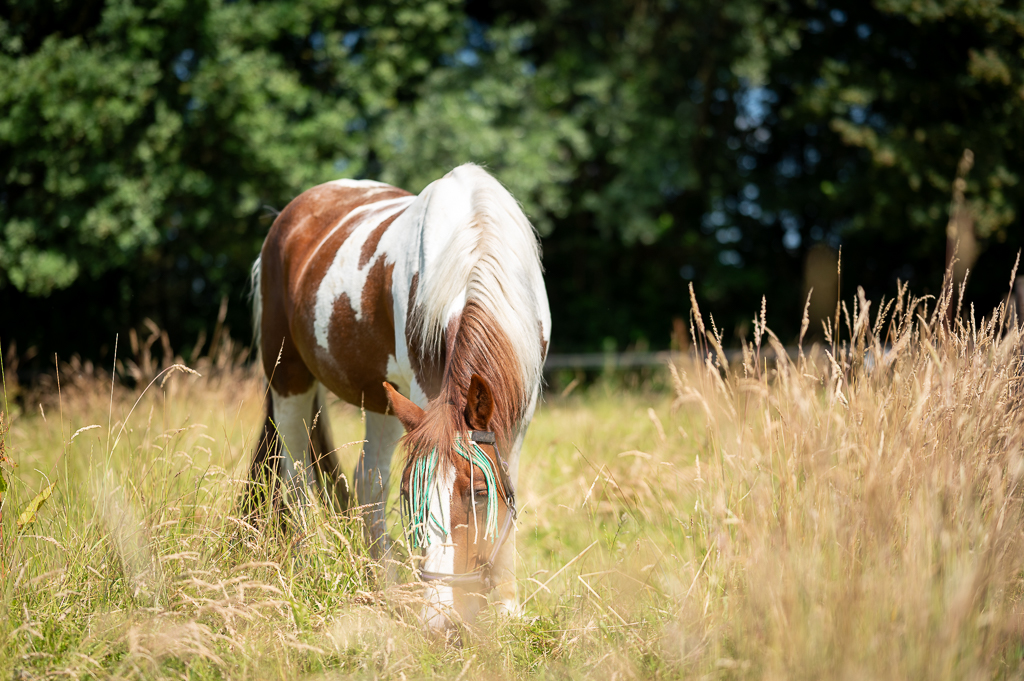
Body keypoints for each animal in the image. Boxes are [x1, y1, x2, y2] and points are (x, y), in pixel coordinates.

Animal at [245, 163, 552, 626]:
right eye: (410, 494)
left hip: (383, 403)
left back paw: (385, 583)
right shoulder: (427, 394)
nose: (439, 620)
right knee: (297, 475)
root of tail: (289, 216)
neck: (477, 249)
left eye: (480, 492)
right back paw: (312, 558)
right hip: (288, 379)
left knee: (367, 482)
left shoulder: (519, 411)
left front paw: (507, 606)